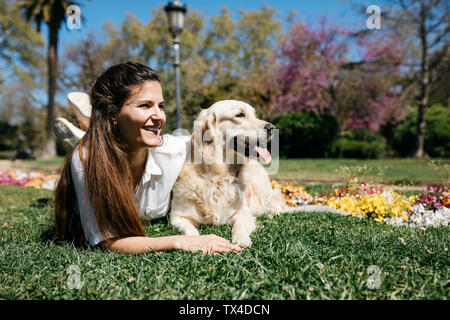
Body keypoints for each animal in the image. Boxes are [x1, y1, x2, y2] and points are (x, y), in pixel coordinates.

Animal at [169, 101, 288, 246]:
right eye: (240, 114)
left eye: (254, 114)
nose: (272, 127)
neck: (217, 175)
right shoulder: (178, 216)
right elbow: (190, 230)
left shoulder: (242, 211)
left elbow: (240, 225)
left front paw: (242, 240)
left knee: (274, 202)